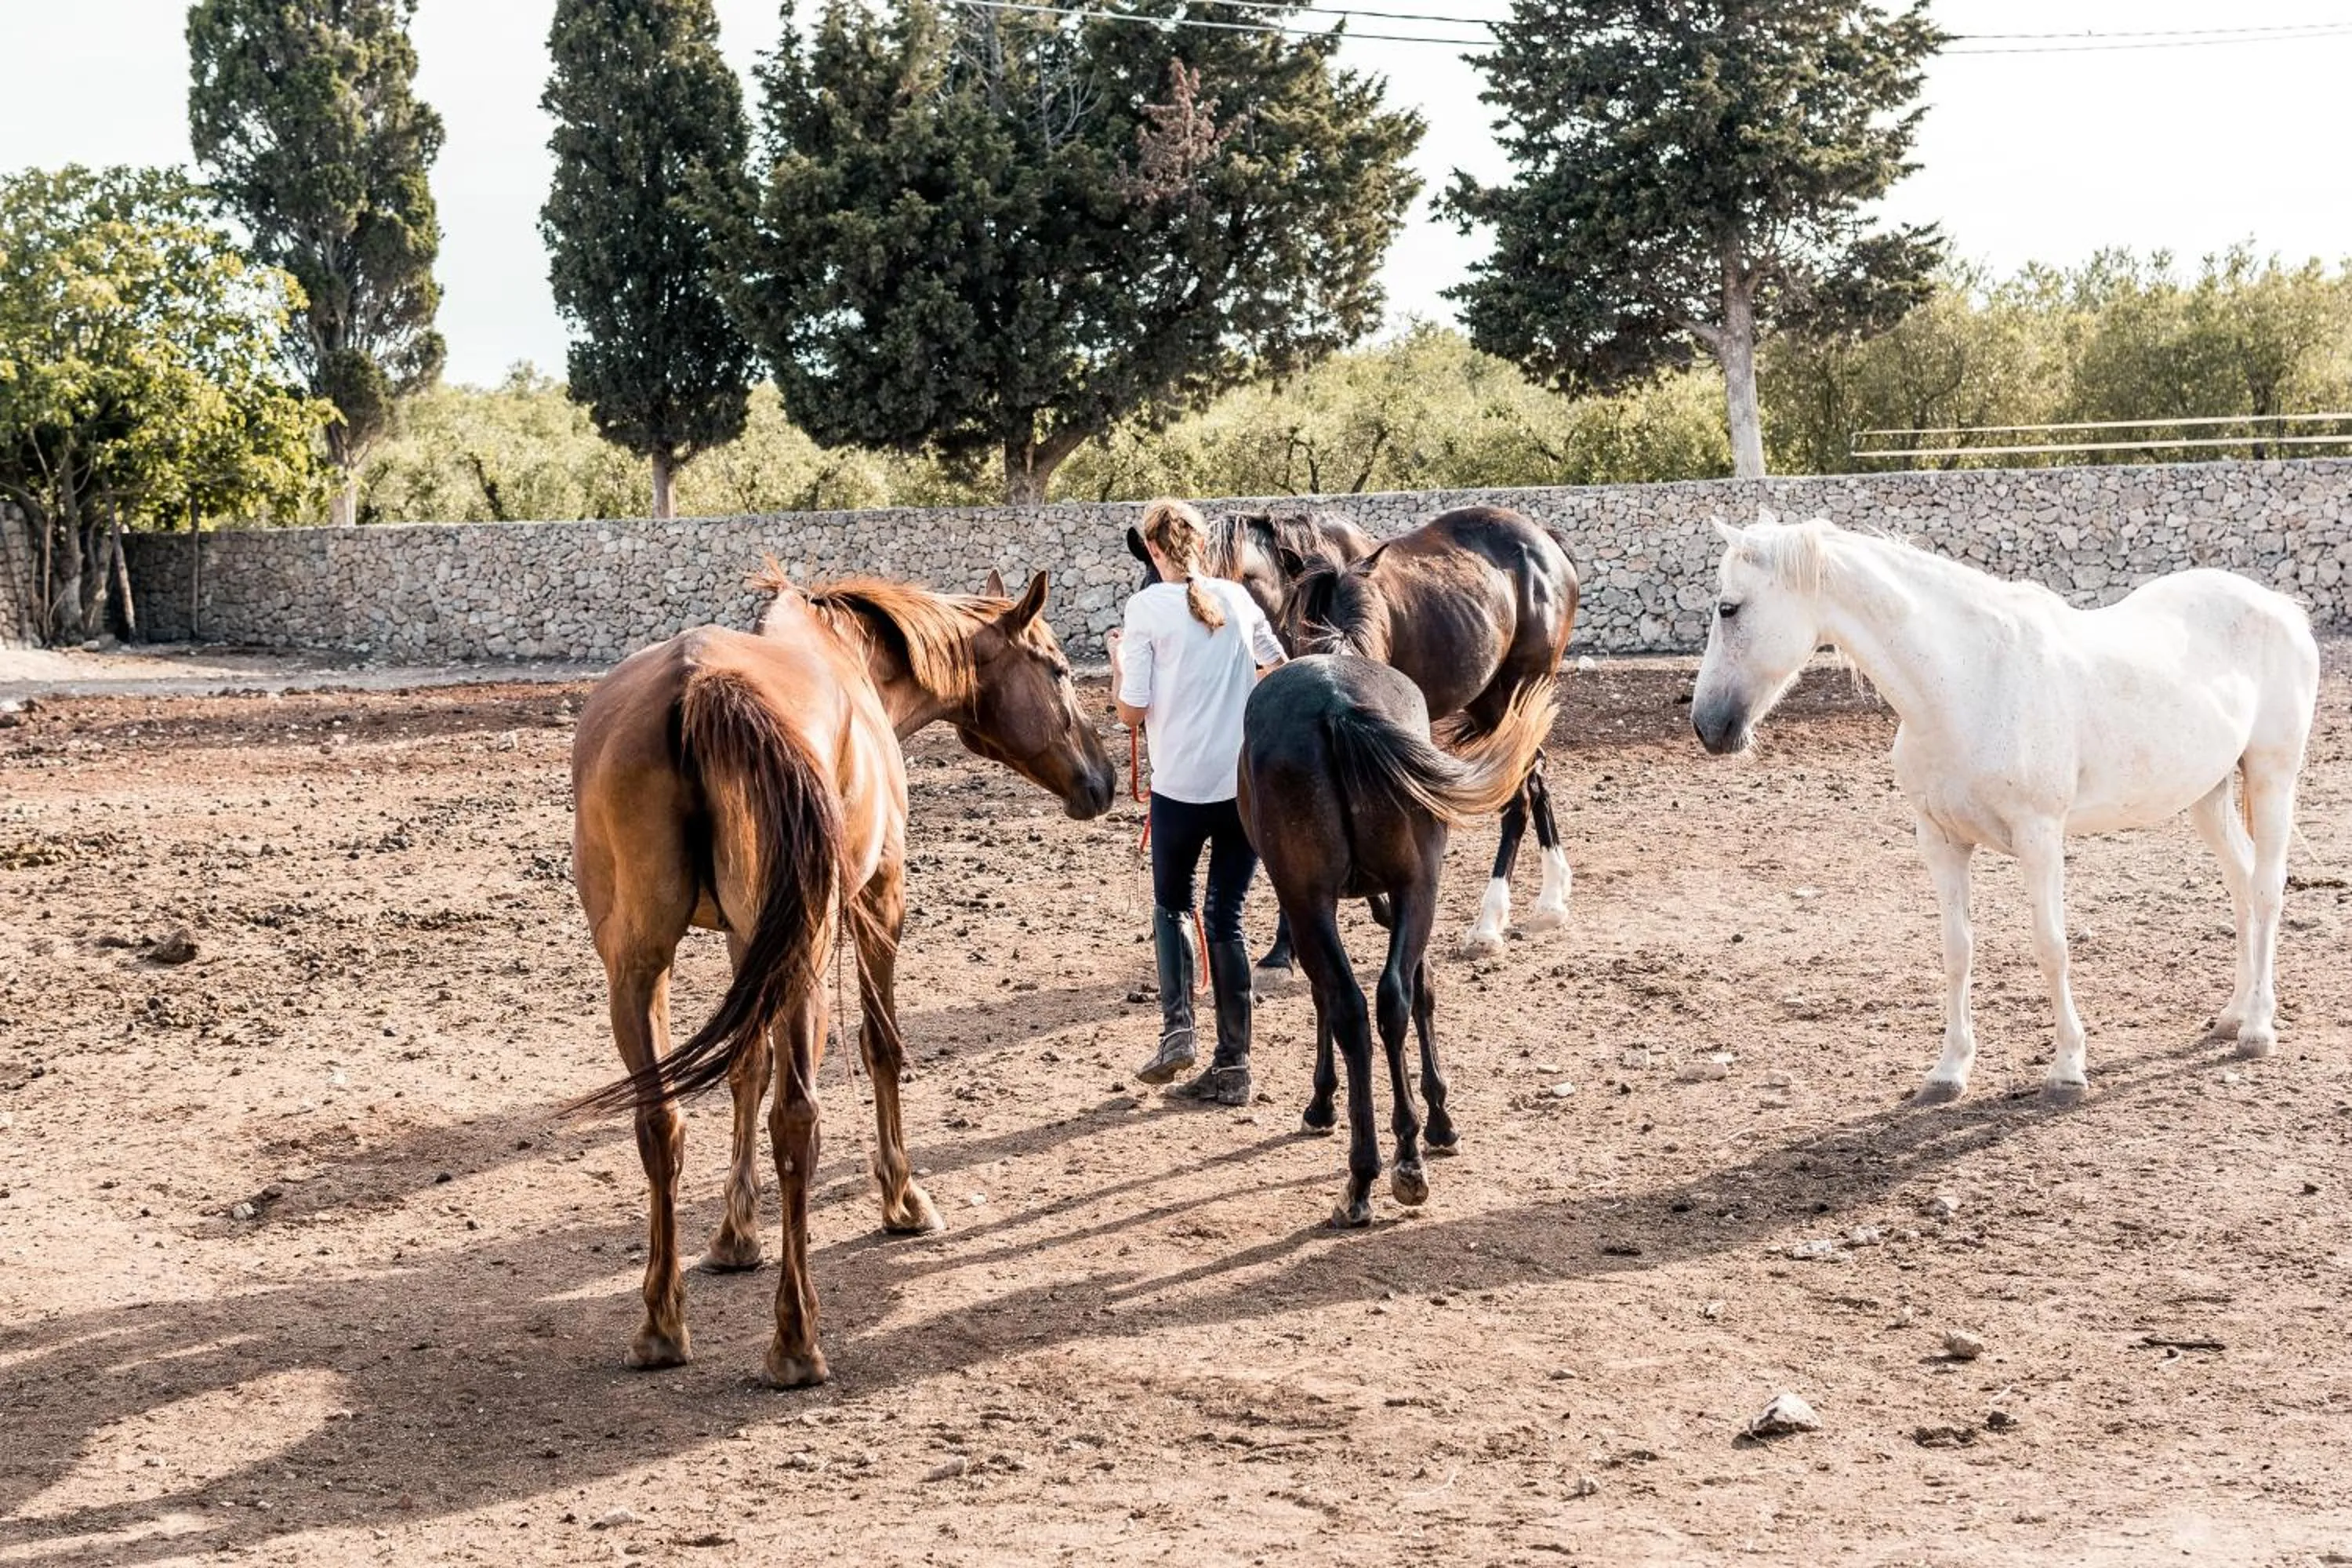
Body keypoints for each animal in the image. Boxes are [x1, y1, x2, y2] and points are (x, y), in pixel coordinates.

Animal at [568, 568, 1116, 1385]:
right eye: (1058, 670)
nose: (1105, 780)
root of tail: (699, 685)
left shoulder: (748, 942)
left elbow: (745, 1069)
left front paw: (735, 1234)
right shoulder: (880, 897)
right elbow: (880, 1046)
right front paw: (904, 1200)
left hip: (637, 968)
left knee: (660, 1119)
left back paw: (661, 1325)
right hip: (805, 954)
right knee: (797, 1121)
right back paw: (796, 1341)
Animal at [1239, 654, 1557, 1225]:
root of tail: (1338, 703)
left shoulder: (1308, 906)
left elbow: (1323, 998)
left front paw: (1322, 1104)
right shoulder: (1403, 897)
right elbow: (1421, 989)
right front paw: (1439, 1118)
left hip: (1310, 899)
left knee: (1349, 1006)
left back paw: (1360, 1178)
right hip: (1416, 888)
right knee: (1393, 998)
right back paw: (1408, 1158)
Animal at [1278, 506, 1581, 958]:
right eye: (1302, 631)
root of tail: (1543, 539)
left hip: (1522, 690)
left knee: (1519, 793)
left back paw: (1489, 922)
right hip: (1495, 703)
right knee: (1533, 775)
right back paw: (1551, 901)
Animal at [1691, 513, 2319, 1105]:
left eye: (1728, 608)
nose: (1707, 727)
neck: (1969, 681)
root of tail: (2280, 608)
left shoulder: (2039, 838)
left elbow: (2051, 947)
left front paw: (2067, 1069)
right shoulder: (1939, 841)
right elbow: (1957, 950)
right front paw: (1948, 1071)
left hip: (2273, 775)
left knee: (2266, 888)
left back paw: (2257, 1030)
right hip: (2207, 795)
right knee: (2241, 884)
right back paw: (2232, 1015)